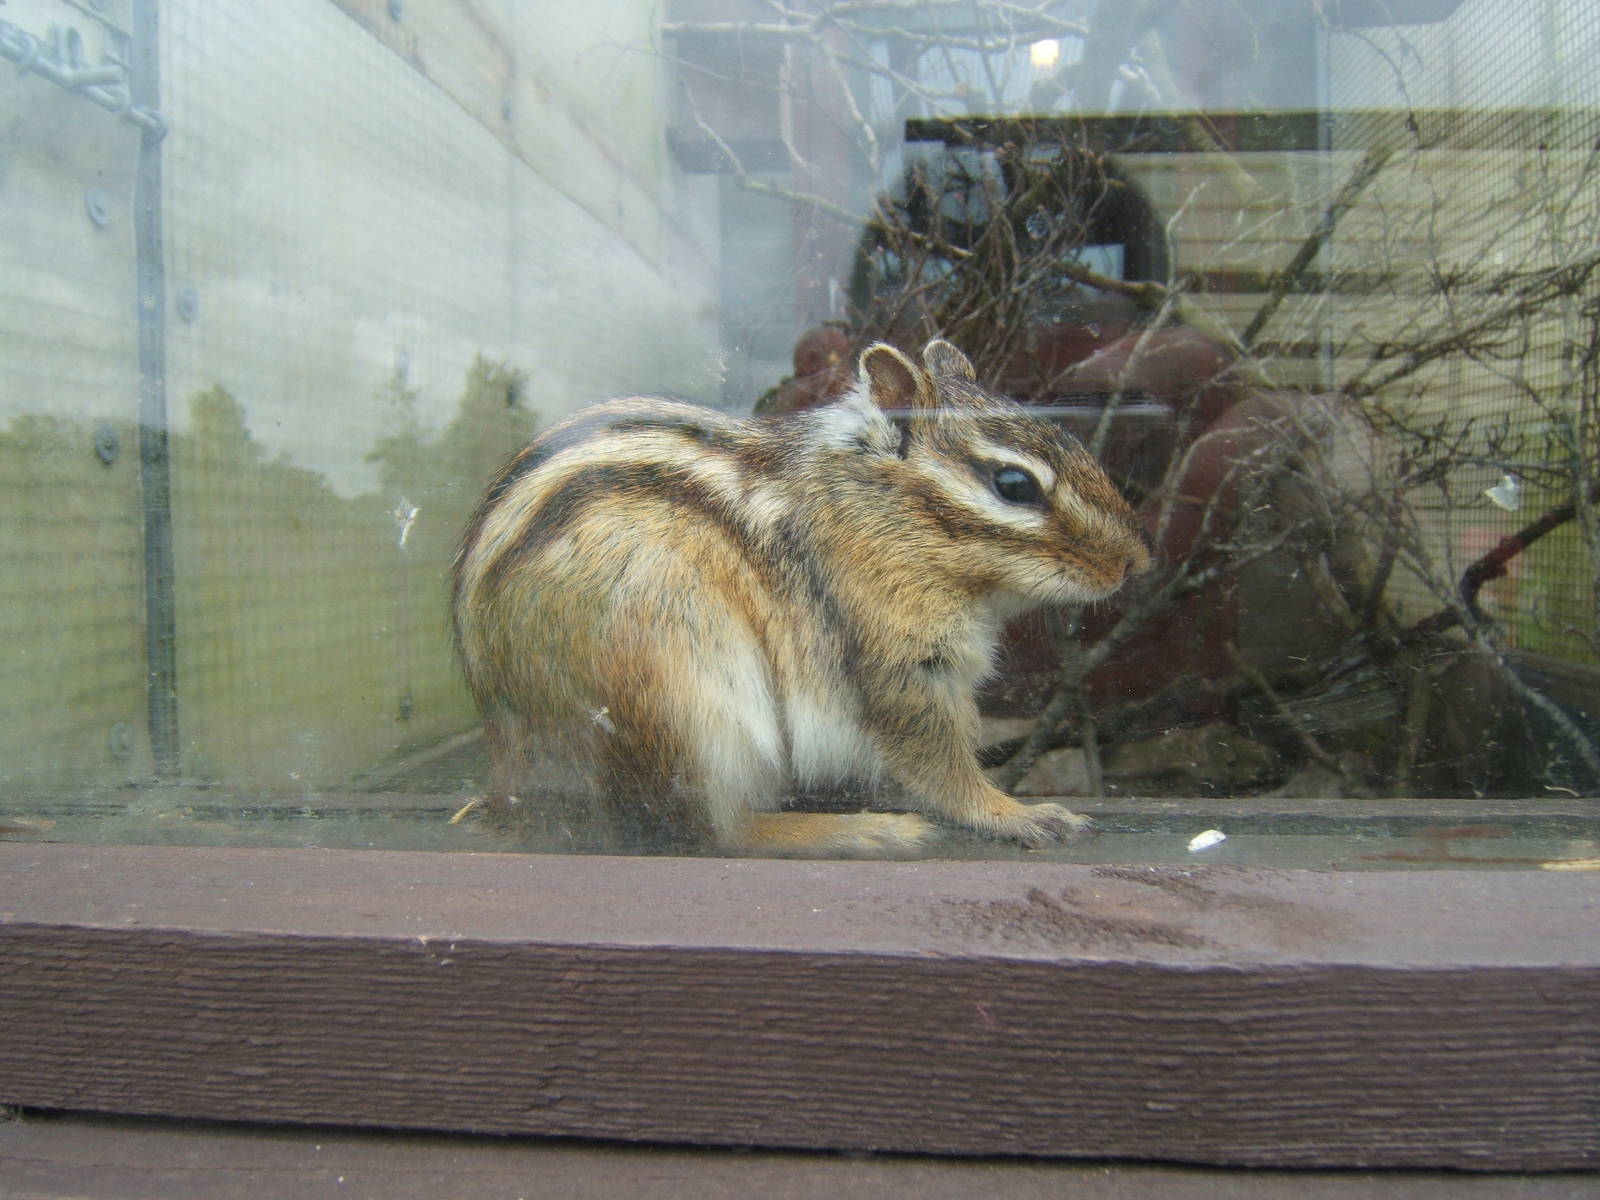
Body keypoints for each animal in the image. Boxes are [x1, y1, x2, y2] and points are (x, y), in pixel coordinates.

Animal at [451, 339, 1151, 856]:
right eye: (1013, 485)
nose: (1137, 562)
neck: (865, 506)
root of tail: (520, 788)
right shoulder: (895, 657)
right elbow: (936, 761)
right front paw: (1015, 813)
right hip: (679, 698)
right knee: (713, 831)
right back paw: (860, 831)